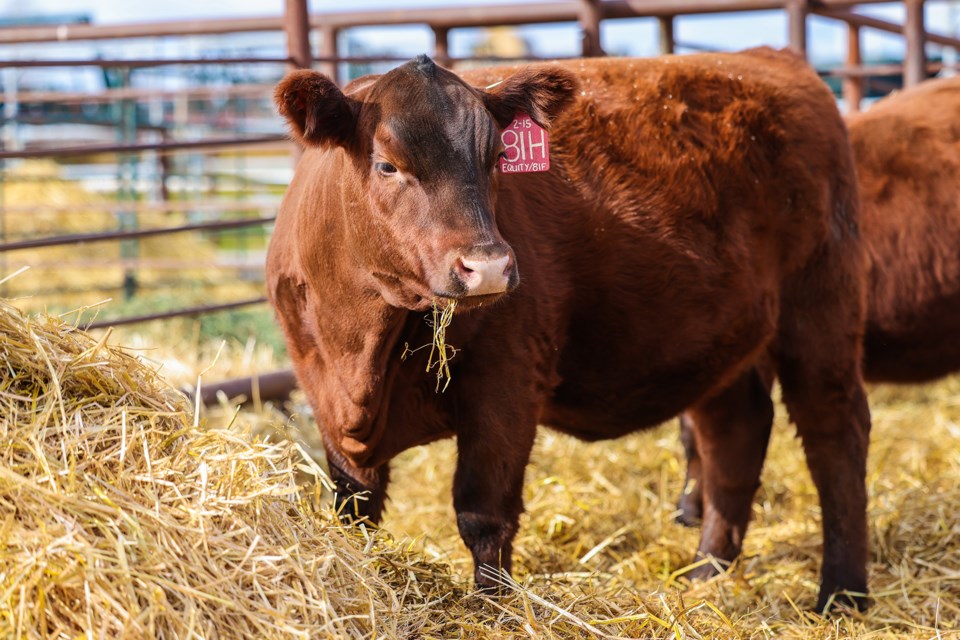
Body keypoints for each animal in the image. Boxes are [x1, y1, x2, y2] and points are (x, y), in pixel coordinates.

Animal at [266, 48, 872, 608]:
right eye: (388, 165)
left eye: (497, 158)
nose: (488, 266)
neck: (361, 350)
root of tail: (769, 58)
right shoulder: (323, 394)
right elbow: (355, 509)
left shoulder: (507, 380)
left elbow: (483, 513)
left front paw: (494, 611)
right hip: (725, 340)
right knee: (735, 437)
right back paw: (705, 575)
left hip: (821, 313)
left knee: (835, 437)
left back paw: (843, 594)